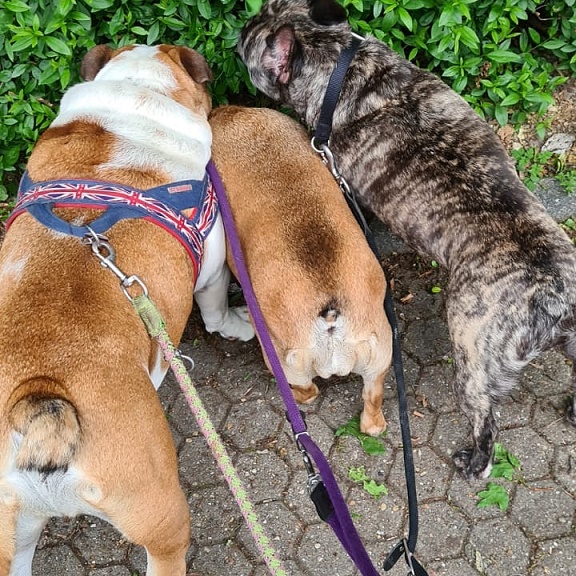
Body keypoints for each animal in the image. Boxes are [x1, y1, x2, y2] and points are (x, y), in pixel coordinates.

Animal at [0, 44, 254, 576]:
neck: (136, 95)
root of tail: (39, 403)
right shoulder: (213, 268)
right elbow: (216, 311)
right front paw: (236, 324)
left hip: (15, 528)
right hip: (160, 514)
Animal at [210, 105, 392, 435]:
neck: (237, 119)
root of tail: (330, 315)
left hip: (282, 360)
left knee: (308, 391)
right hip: (380, 355)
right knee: (371, 404)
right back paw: (374, 424)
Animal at [238, 0, 576, 480]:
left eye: (249, 44)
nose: (241, 26)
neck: (339, 63)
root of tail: (553, 294)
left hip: (471, 356)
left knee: (485, 422)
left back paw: (474, 463)